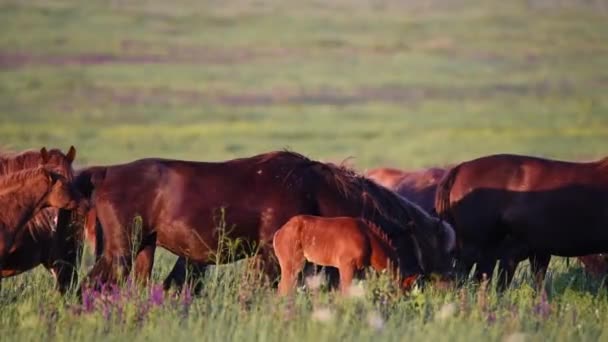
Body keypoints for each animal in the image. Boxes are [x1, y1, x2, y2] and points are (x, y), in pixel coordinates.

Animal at [274, 215, 420, 296]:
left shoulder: (359, 270)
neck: (368, 239)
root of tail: (279, 233)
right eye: (404, 292)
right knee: (284, 289)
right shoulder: (347, 266)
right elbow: (345, 292)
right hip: (293, 265)